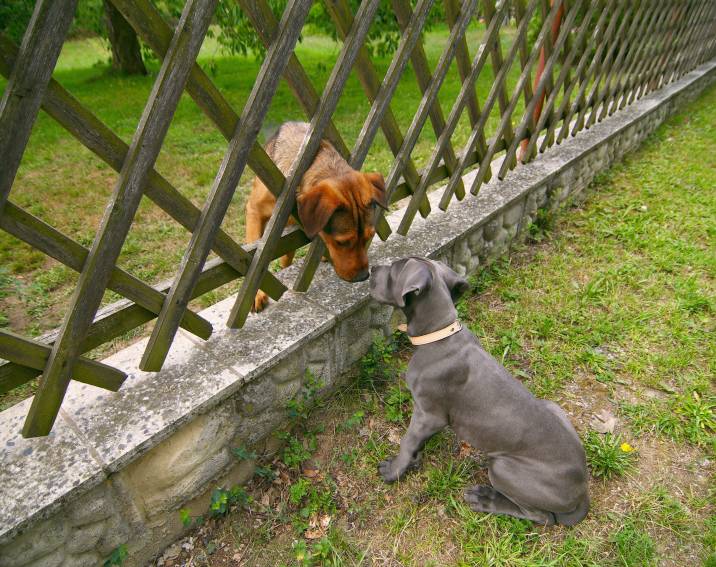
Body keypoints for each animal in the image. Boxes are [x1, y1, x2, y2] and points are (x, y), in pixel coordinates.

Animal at [243, 122, 386, 312]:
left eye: (370, 236)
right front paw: (256, 294)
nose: (363, 276)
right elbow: (255, 258)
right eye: (342, 242)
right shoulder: (254, 210)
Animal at [370, 258, 588, 528]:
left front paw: (394, 470)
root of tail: (583, 489)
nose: (370, 269)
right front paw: (413, 460)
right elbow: (416, 443)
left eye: (395, 268)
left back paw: (485, 499)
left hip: (503, 467)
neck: (438, 335)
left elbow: (407, 440)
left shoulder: (428, 414)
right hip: (551, 406)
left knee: (541, 516)